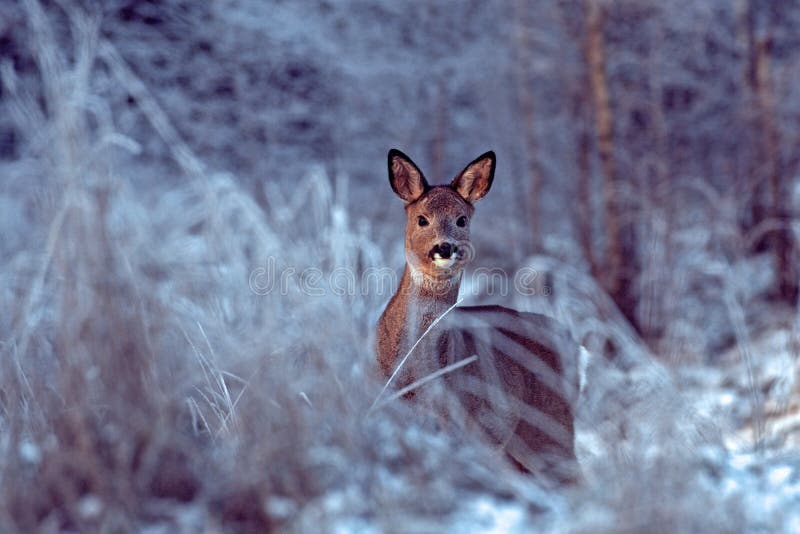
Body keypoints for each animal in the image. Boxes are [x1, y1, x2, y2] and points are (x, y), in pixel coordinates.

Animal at [378, 149, 580, 484]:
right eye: (422, 219)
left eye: (461, 219)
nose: (444, 248)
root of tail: (571, 340)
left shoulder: (460, 426)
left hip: (550, 425)